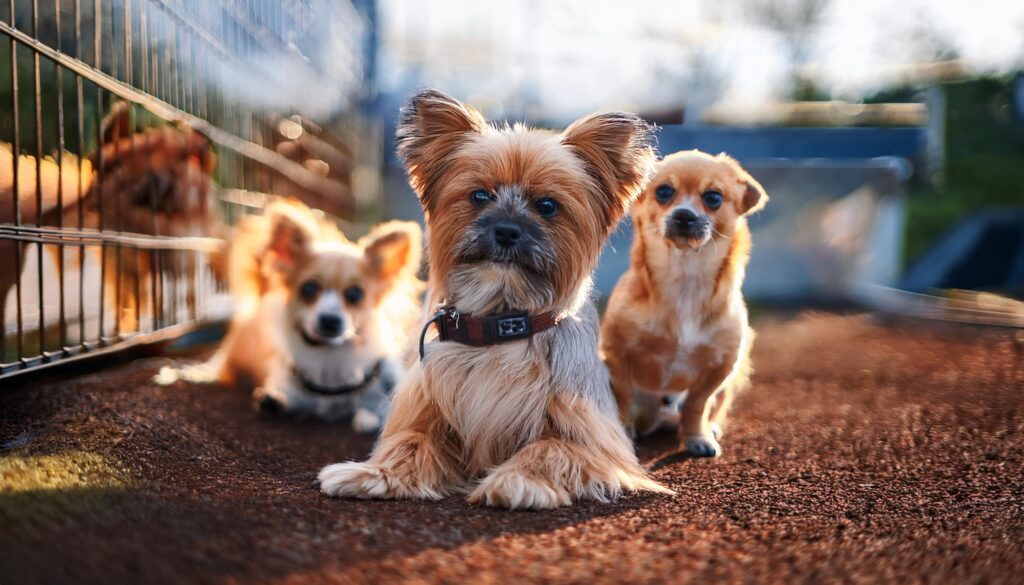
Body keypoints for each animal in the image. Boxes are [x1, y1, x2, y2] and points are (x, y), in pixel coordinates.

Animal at [161, 198, 425, 432]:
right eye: (308, 288)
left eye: (355, 294)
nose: (330, 320)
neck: (329, 356)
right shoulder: (286, 384)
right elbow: (285, 398)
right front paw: (274, 403)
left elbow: (375, 407)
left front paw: (369, 417)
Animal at [319, 89, 671, 510]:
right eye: (479, 196)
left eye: (547, 205)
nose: (506, 230)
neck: (501, 324)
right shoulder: (425, 409)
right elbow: (409, 441)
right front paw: (373, 474)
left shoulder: (597, 442)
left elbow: (551, 448)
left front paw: (517, 480)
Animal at [598, 149, 770, 456]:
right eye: (664, 191)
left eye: (713, 197)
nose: (684, 215)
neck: (685, 277)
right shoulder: (616, 354)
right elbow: (623, 398)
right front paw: (623, 432)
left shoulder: (720, 368)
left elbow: (696, 405)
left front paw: (696, 437)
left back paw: (710, 428)